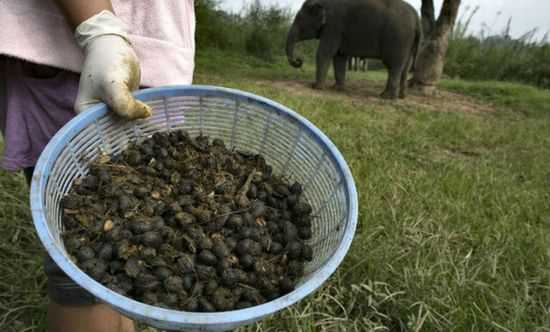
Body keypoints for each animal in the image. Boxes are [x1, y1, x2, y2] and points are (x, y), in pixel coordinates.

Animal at [288, 0, 422, 98]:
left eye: (299, 19)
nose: (299, 61)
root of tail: (417, 18)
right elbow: (339, 57)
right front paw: (337, 89)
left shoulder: (333, 26)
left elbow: (324, 53)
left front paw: (315, 87)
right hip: (409, 42)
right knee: (405, 68)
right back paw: (401, 96)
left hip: (399, 38)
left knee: (394, 66)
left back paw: (386, 97)